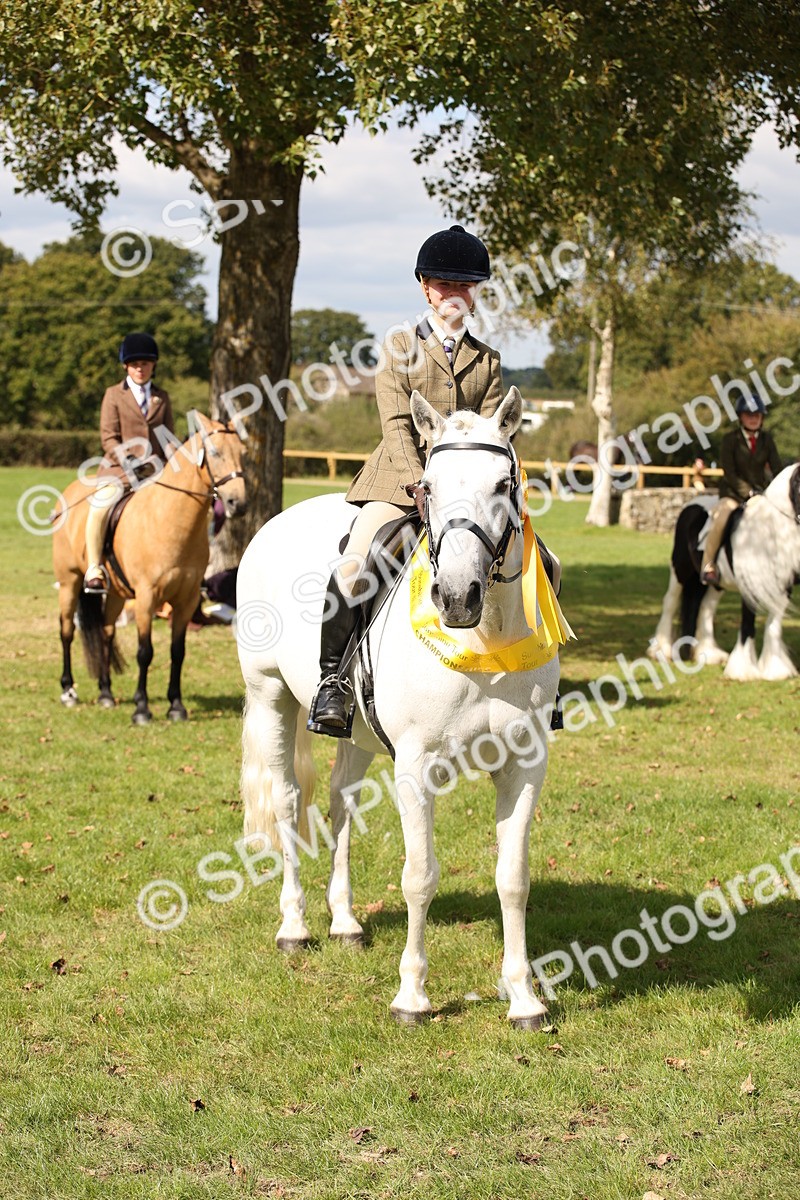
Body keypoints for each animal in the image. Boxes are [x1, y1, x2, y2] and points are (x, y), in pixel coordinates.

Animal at [52, 412, 246, 722]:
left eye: (242, 452)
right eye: (215, 452)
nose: (237, 503)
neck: (172, 521)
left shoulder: (186, 599)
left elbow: (177, 651)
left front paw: (176, 706)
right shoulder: (146, 598)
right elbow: (145, 652)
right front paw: (142, 708)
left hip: (116, 594)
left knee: (107, 631)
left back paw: (106, 693)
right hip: (69, 583)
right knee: (67, 631)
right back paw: (68, 691)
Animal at [236, 387, 567, 1030]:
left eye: (505, 483)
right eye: (428, 486)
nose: (457, 597)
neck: (483, 641)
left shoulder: (526, 765)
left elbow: (513, 879)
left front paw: (523, 998)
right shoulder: (416, 766)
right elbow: (419, 877)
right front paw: (412, 996)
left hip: (357, 734)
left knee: (339, 801)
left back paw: (344, 922)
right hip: (270, 698)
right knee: (288, 801)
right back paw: (294, 926)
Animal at [648, 463, 800, 680]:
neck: (769, 532)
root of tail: (691, 505)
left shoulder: (783, 588)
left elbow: (774, 625)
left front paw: (776, 670)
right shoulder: (749, 589)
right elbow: (747, 625)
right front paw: (743, 670)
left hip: (715, 583)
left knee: (706, 608)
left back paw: (709, 653)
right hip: (680, 571)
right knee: (670, 602)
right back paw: (661, 650)